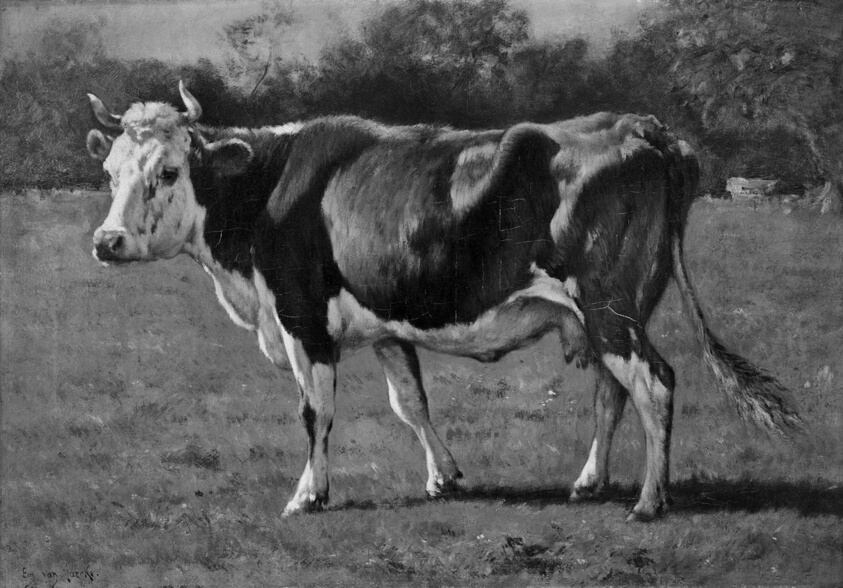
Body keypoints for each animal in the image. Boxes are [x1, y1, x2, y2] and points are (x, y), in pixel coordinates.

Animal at [85, 82, 800, 522]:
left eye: (169, 171)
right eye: (111, 172)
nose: (106, 241)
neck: (268, 191)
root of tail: (639, 125)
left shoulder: (301, 319)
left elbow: (315, 413)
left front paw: (308, 496)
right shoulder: (385, 327)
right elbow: (410, 403)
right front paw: (444, 477)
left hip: (608, 305)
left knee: (654, 384)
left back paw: (650, 502)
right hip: (606, 317)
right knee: (613, 392)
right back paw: (588, 482)